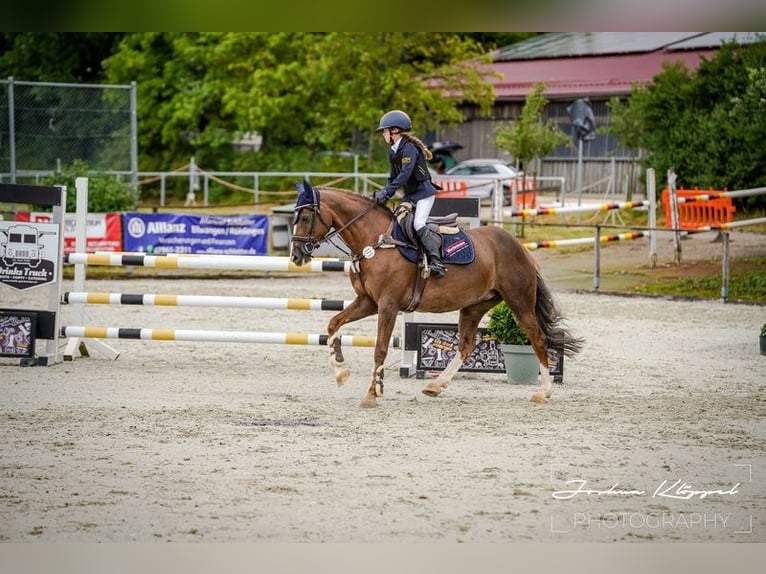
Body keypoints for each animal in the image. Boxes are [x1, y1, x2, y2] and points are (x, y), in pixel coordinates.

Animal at [292, 184, 584, 410]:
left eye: (305, 217)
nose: (296, 255)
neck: (375, 241)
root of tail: (520, 248)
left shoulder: (387, 305)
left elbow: (380, 349)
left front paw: (372, 395)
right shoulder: (368, 302)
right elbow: (333, 324)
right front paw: (341, 371)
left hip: (519, 302)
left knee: (538, 339)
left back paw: (543, 392)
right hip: (475, 306)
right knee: (466, 345)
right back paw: (435, 385)